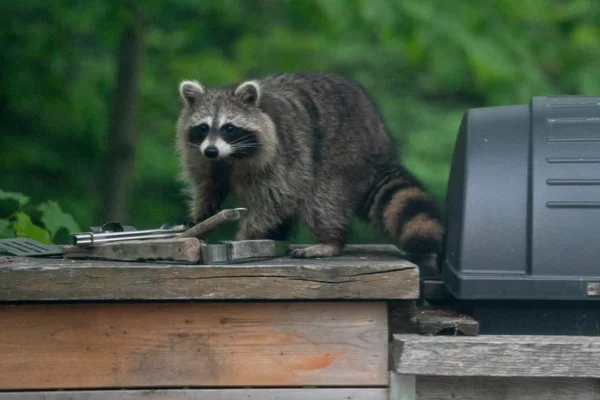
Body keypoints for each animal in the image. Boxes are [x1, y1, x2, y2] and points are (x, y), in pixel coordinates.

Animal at [176, 72, 442, 272]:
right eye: (203, 128)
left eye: (229, 128)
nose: (211, 150)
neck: (229, 156)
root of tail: (381, 145)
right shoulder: (200, 156)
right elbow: (207, 188)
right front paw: (200, 219)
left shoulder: (284, 152)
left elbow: (276, 198)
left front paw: (246, 234)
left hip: (341, 154)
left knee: (322, 201)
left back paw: (330, 241)